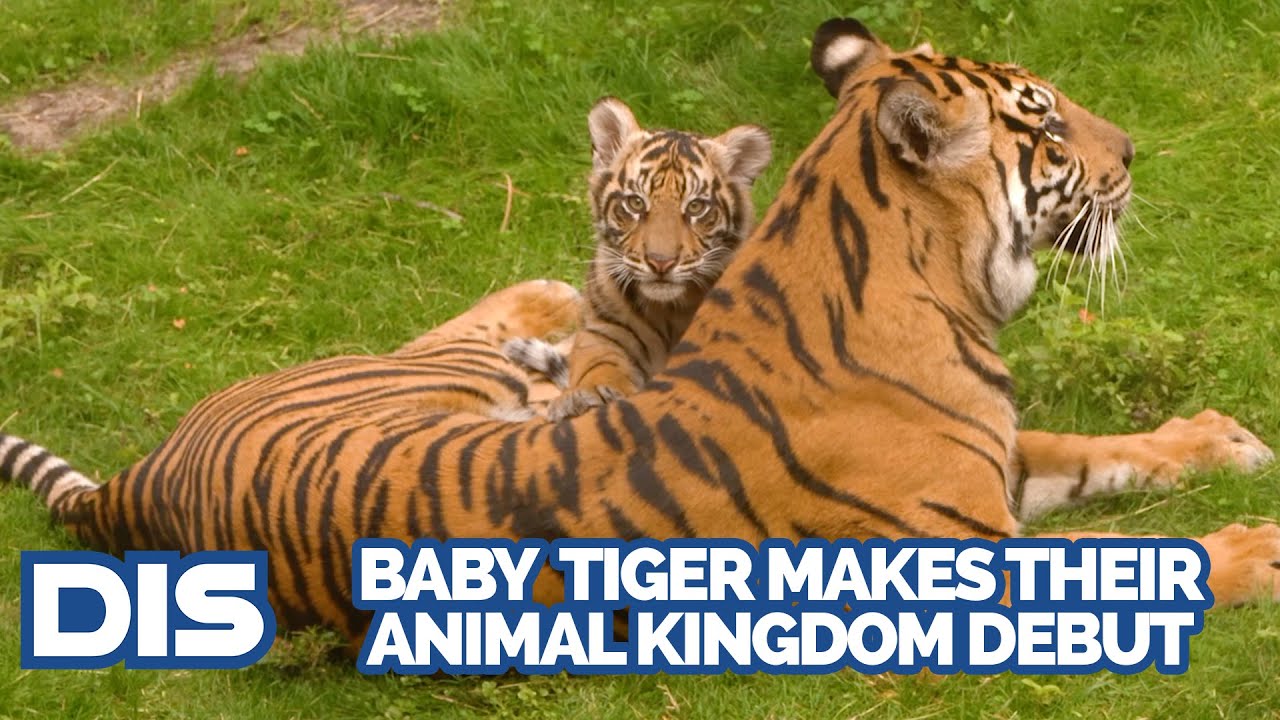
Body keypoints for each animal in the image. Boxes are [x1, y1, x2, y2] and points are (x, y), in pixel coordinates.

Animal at [503, 97, 772, 421]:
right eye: (635, 203)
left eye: (696, 207)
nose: (660, 262)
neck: (668, 311)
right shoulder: (605, 331)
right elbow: (598, 366)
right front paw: (586, 397)